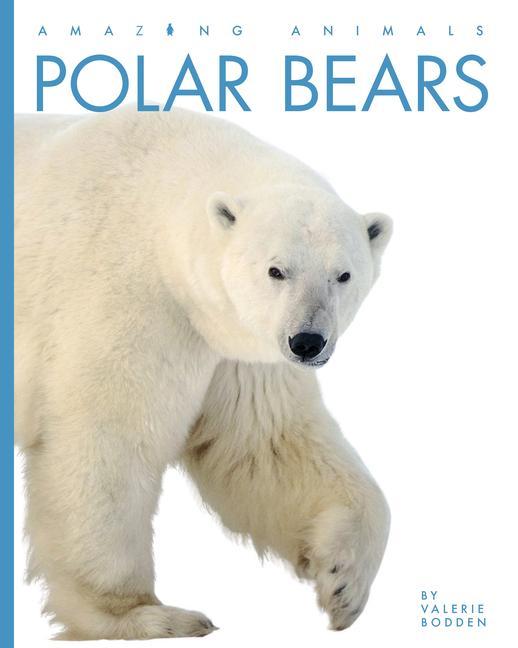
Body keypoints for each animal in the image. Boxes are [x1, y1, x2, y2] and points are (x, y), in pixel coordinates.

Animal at [14, 107, 393, 640]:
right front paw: (144, 615)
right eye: (276, 270)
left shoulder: (233, 346)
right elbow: (107, 441)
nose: (307, 342)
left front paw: (343, 583)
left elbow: (268, 443)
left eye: (343, 275)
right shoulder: (128, 297)